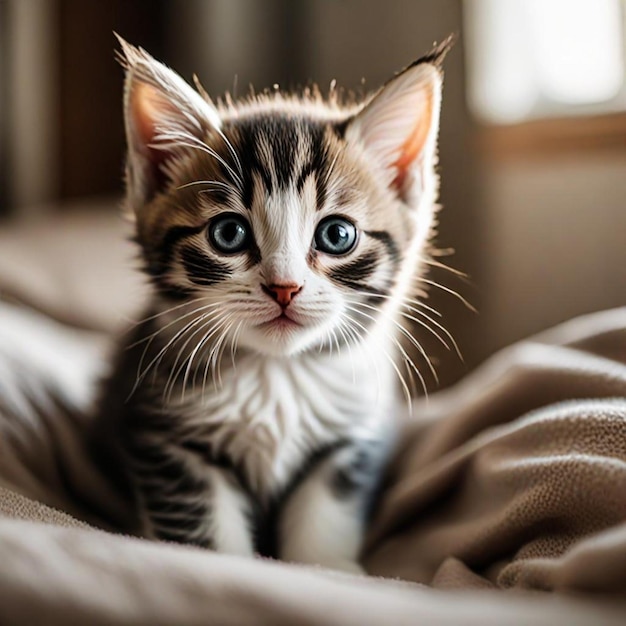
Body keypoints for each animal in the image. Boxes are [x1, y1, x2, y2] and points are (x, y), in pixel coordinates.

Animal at [95, 33, 448, 572]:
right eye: (228, 234)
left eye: (337, 235)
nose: (284, 287)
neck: (277, 375)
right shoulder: (167, 441)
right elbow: (205, 532)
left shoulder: (348, 441)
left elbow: (326, 518)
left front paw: (328, 570)